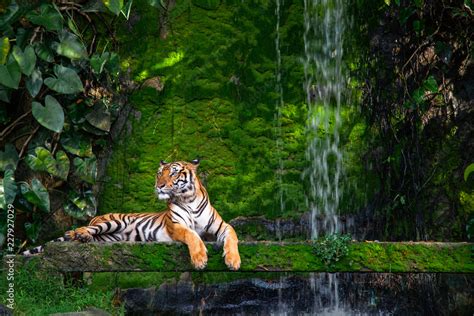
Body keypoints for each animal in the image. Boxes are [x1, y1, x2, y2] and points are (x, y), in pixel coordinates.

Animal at [23, 159, 241, 270]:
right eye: (159, 173)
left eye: (173, 172)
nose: (159, 185)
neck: (189, 199)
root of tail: (96, 216)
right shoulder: (176, 226)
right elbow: (192, 235)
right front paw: (200, 259)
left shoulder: (221, 226)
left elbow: (232, 236)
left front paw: (234, 261)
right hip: (110, 223)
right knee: (85, 228)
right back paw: (78, 233)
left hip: (110, 238)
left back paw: (81, 237)